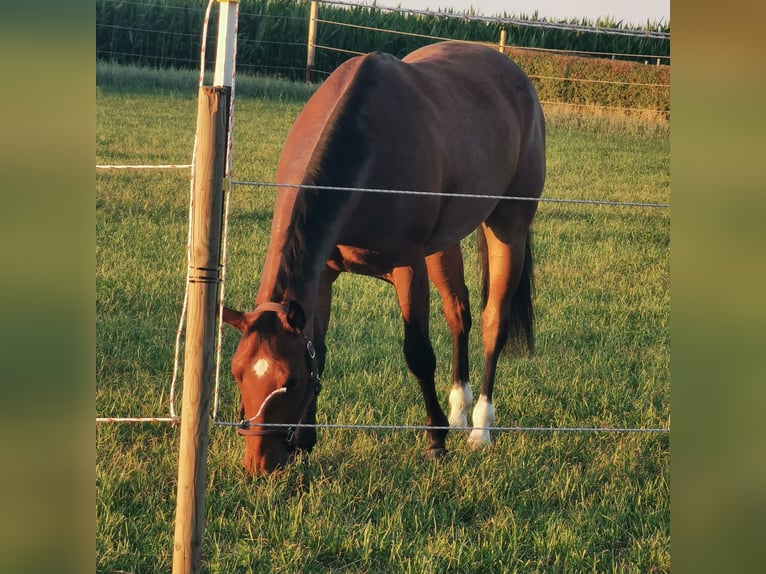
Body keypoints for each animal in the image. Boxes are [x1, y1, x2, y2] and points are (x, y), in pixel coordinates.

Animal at [223, 41, 546, 476]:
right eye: (238, 374)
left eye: (288, 381)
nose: (260, 464)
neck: (368, 144)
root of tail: (513, 71)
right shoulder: (323, 276)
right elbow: (320, 349)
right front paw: (308, 439)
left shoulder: (409, 267)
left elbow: (419, 355)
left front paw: (436, 441)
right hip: (442, 244)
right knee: (458, 313)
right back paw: (459, 409)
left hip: (508, 226)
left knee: (494, 323)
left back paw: (480, 427)